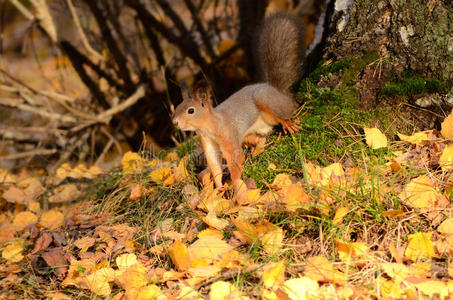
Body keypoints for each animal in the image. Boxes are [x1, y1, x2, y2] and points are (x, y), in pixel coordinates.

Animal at [173, 13, 308, 190]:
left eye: (190, 110)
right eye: (176, 107)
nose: (175, 122)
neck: (208, 126)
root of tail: (278, 91)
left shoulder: (228, 137)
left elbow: (234, 160)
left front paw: (237, 185)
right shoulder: (208, 143)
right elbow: (215, 165)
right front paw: (219, 188)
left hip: (266, 101)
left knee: (282, 115)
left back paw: (287, 123)